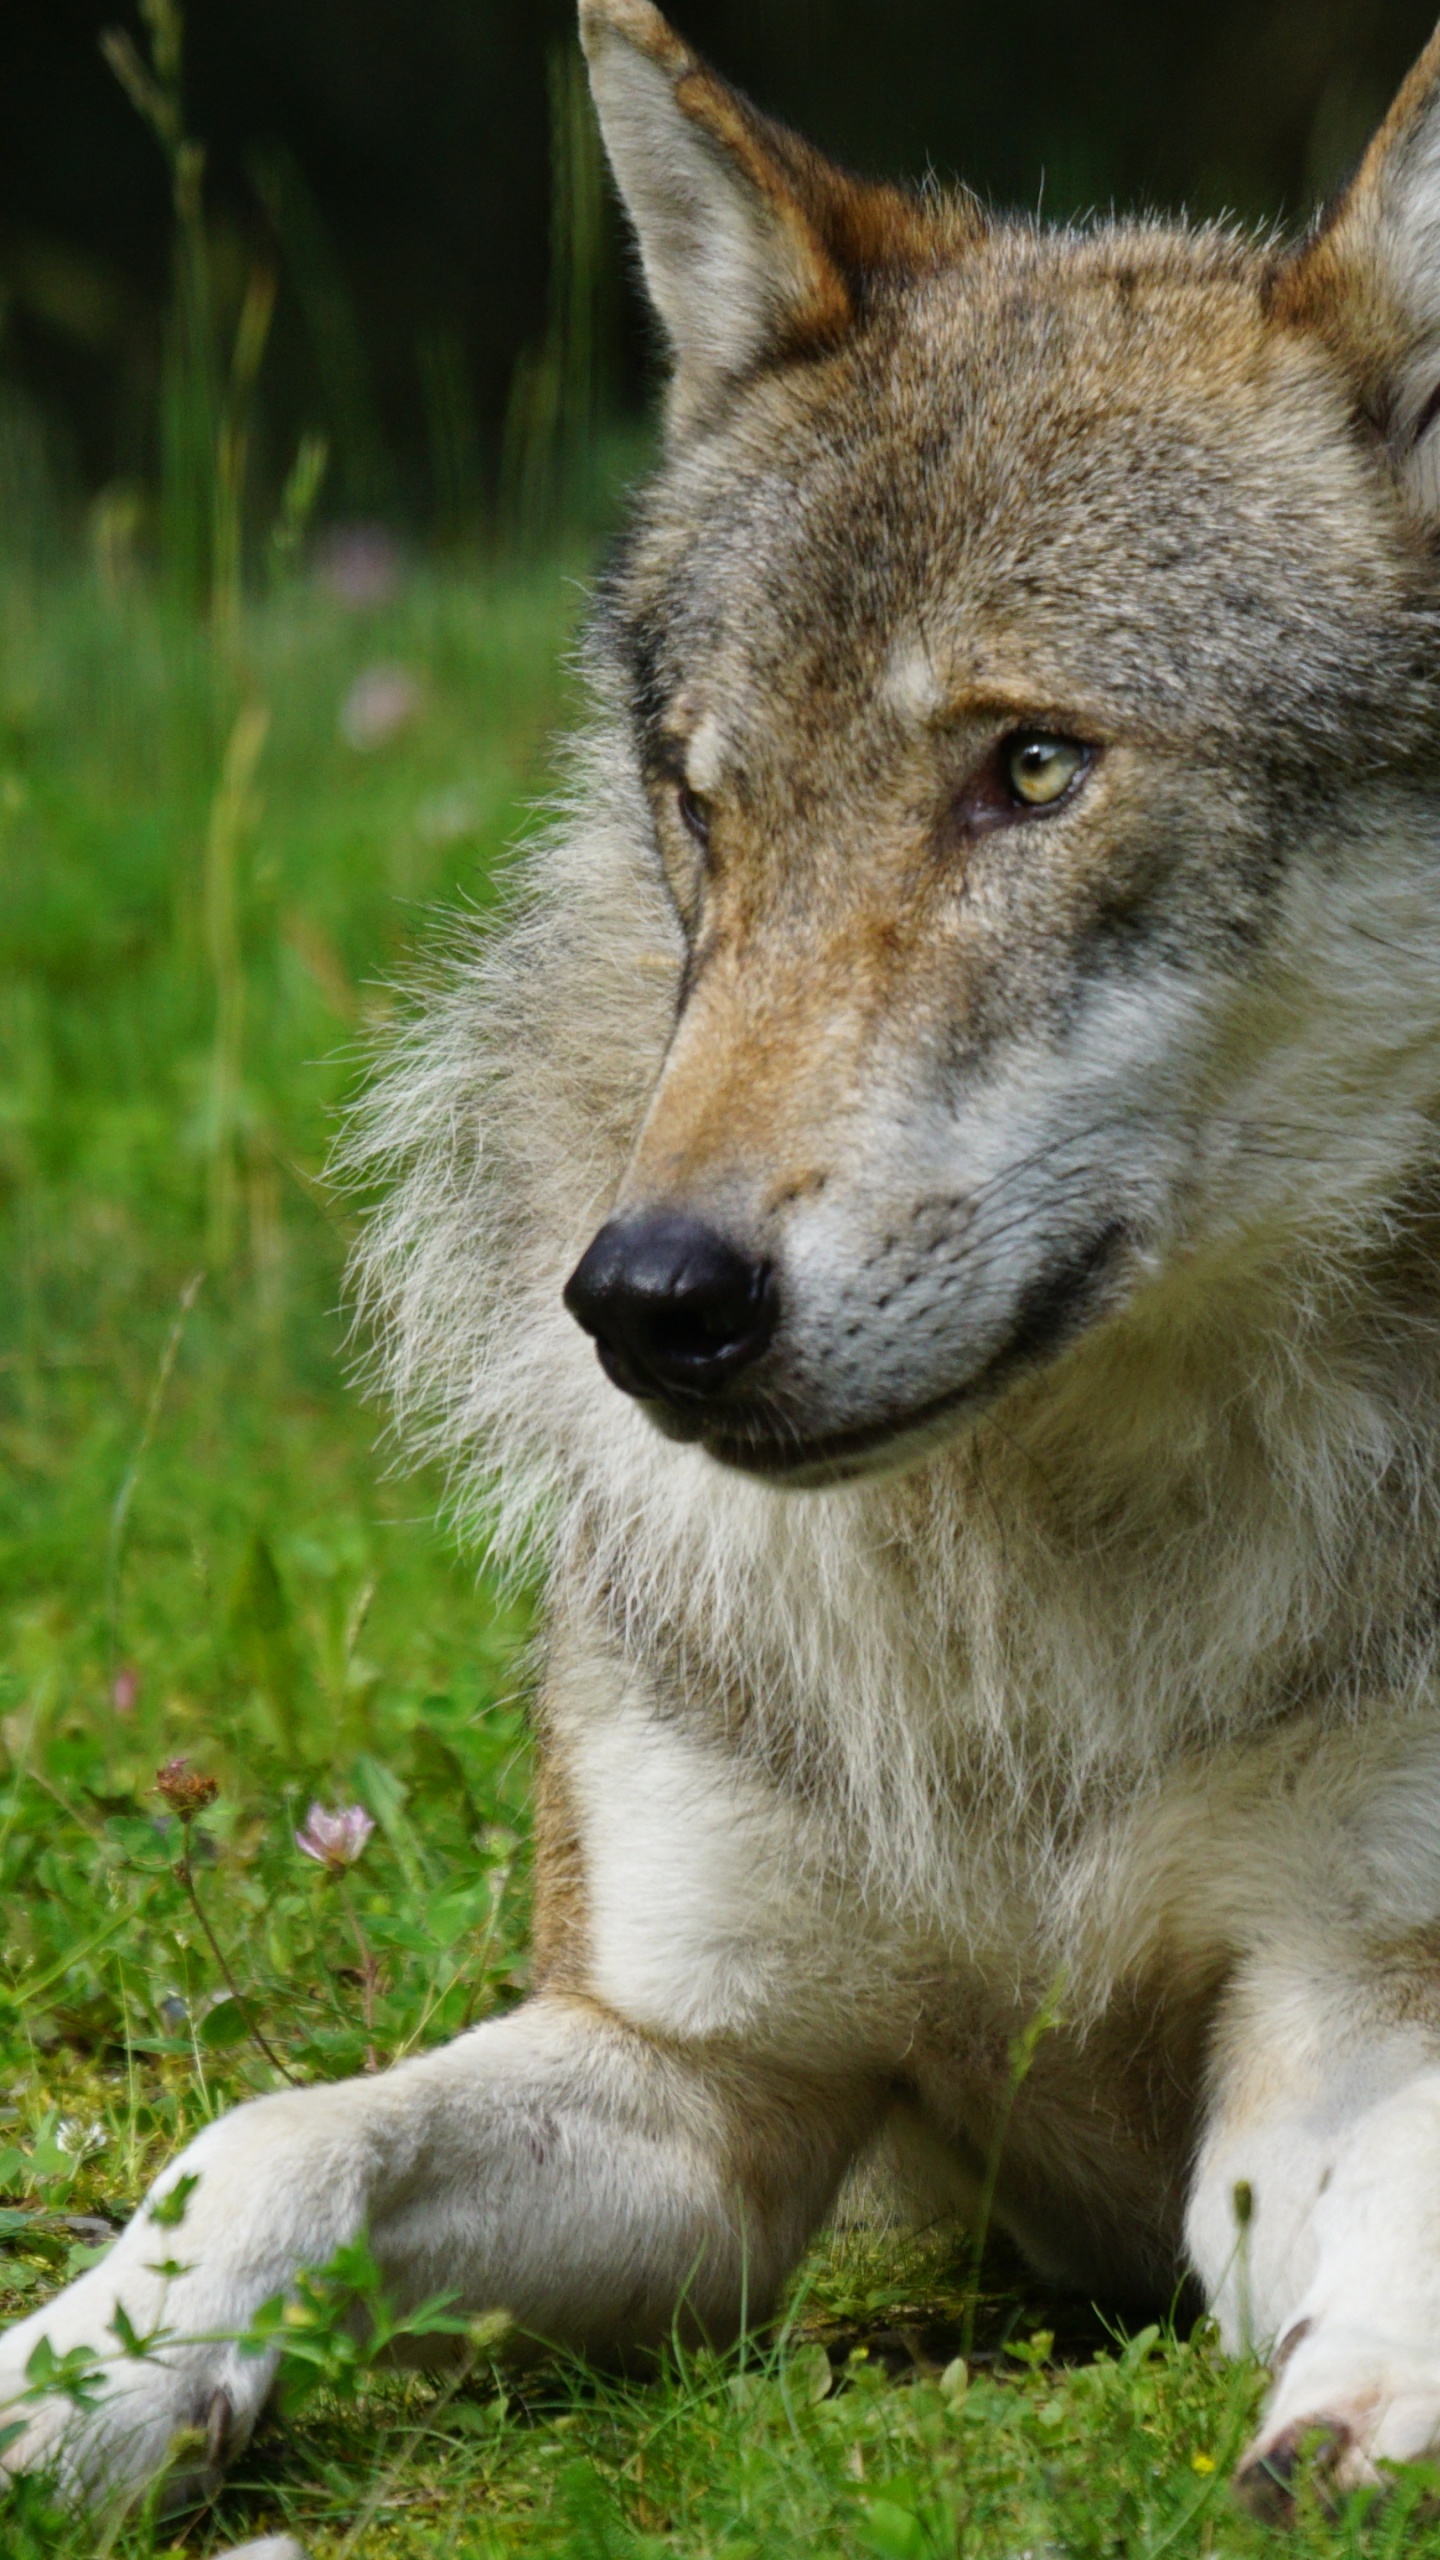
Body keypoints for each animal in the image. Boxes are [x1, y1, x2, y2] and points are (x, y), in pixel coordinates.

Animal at [11, 0, 1440, 2519]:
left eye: (1035, 767)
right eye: (703, 799)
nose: (648, 1303)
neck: (1032, 1632)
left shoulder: (1342, 2000)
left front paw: (1368, 2398)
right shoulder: (703, 2080)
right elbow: (270, 2134)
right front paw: (81, 2372)